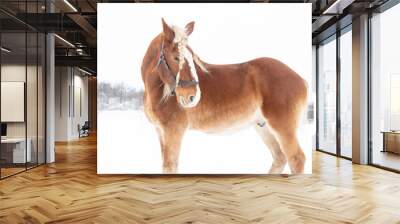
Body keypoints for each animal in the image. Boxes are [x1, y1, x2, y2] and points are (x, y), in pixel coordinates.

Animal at [142, 18, 308, 174]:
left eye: (193, 57)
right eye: (176, 57)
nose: (193, 96)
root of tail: (301, 79)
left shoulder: (173, 131)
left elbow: (170, 167)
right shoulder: (161, 132)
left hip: (282, 128)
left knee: (296, 159)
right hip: (263, 127)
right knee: (280, 157)